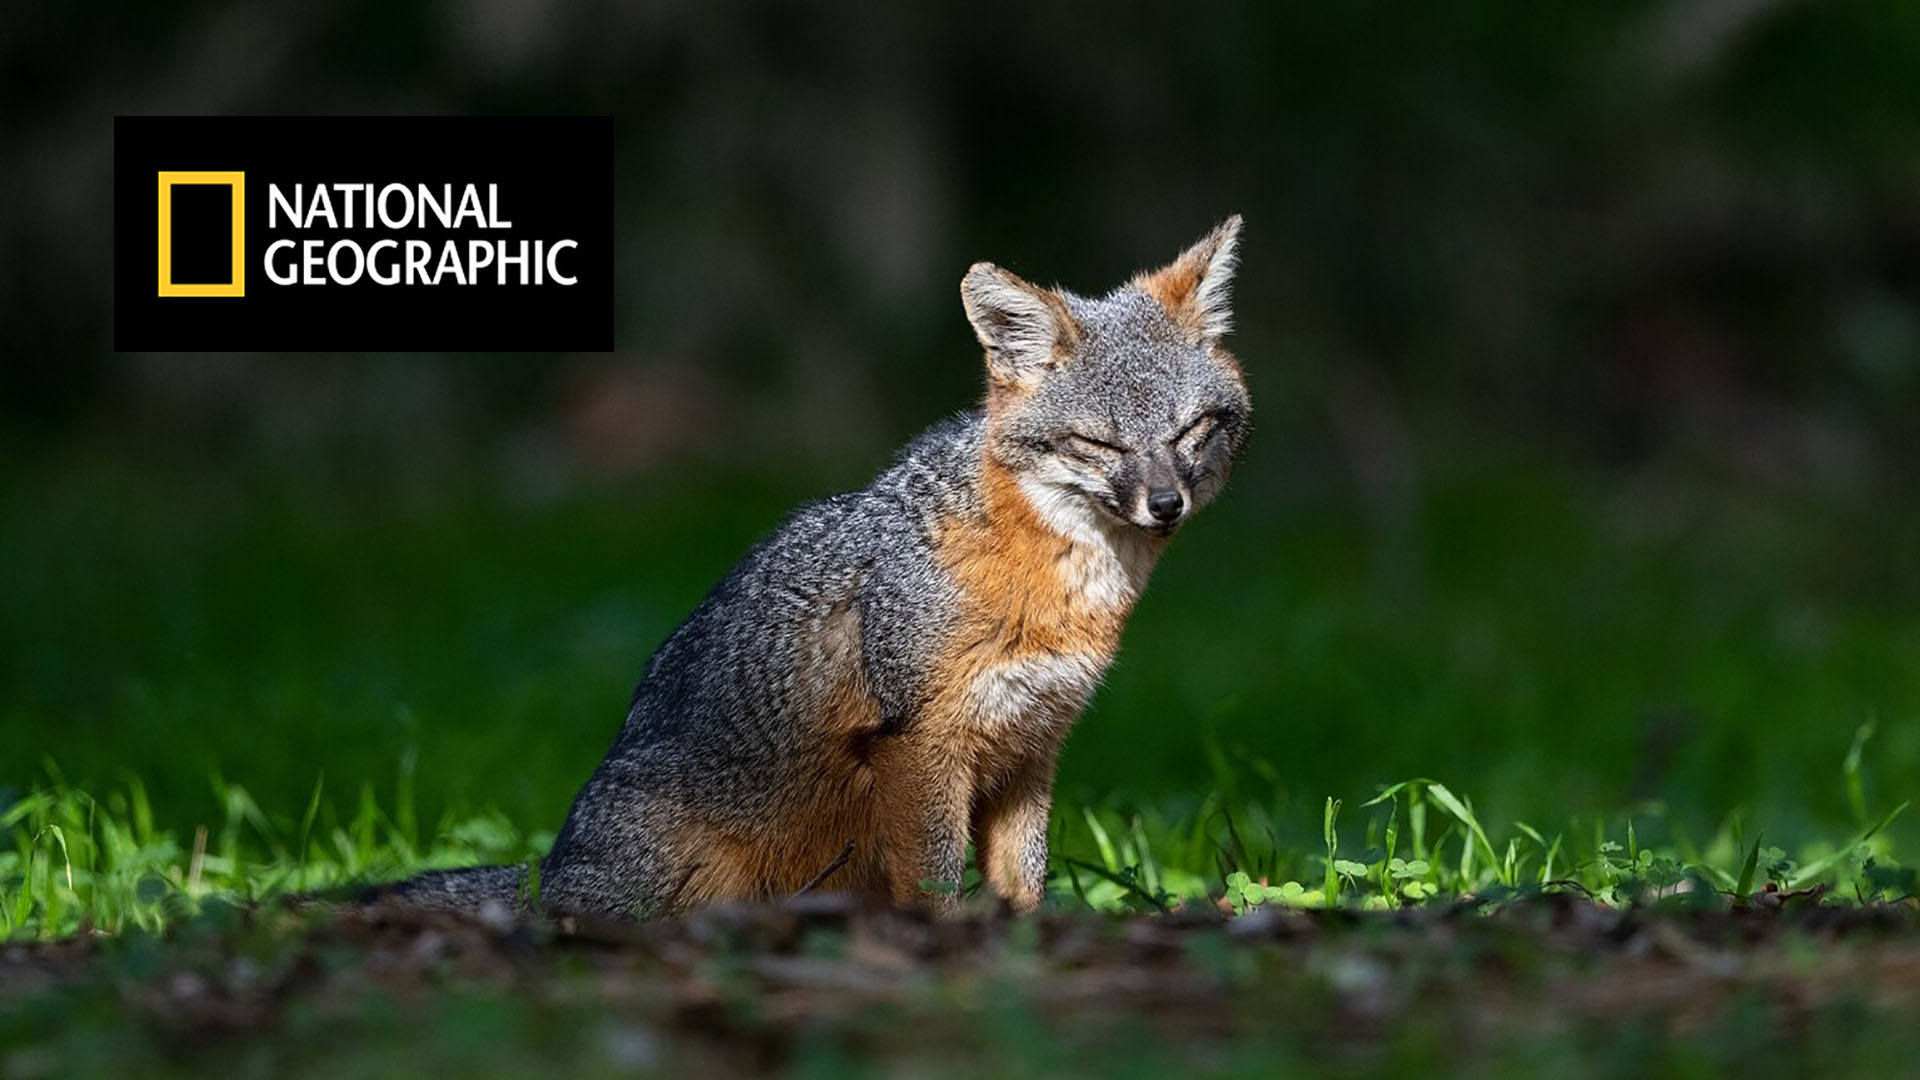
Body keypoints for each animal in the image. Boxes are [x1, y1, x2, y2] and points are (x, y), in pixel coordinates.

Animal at [373, 216, 1252, 918]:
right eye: (1100, 443)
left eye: (1190, 429)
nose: (1166, 504)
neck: (1056, 584)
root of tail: (551, 869)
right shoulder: (924, 742)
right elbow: (936, 881)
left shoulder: (1031, 747)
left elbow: (1024, 884)